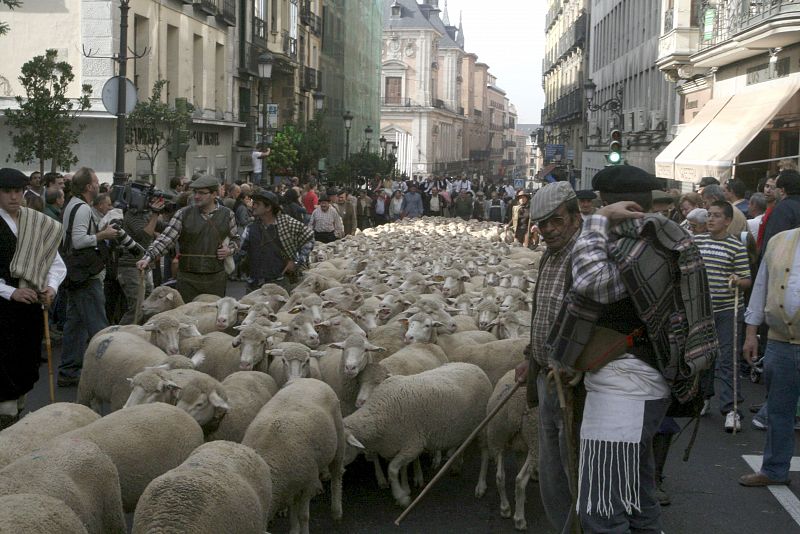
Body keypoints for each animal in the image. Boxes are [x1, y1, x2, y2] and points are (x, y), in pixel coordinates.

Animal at [241, 378, 346, 532]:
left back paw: (337, 511)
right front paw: (294, 529)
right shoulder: (290, 485)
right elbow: (293, 509)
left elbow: (303, 516)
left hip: (339, 439)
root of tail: (310, 379)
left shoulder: (308, 484)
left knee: (337, 474)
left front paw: (303, 530)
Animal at [346, 364, 494, 506]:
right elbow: (402, 468)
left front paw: (401, 496)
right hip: (463, 424)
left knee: (485, 452)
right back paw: (457, 464)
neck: (378, 413)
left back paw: (481, 485)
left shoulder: (412, 446)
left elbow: (392, 469)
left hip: (482, 422)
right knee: (464, 440)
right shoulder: (403, 445)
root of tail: (476, 367)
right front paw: (405, 488)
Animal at [476, 370, 536, 532]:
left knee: (500, 476)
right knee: (519, 480)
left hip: (498, 437)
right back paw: (519, 519)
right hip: (535, 441)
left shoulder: (521, 446)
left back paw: (505, 508)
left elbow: (519, 463)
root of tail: (513, 407)